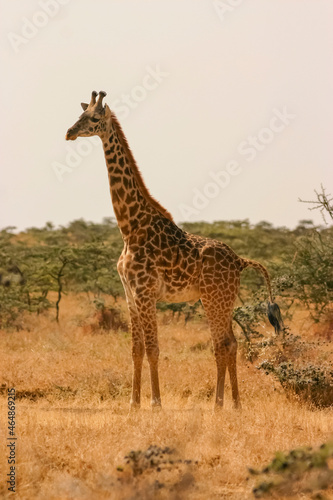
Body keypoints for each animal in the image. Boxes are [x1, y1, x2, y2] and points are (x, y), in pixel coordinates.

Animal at [65, 91, 282, 410]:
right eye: (78, 115)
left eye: (93, 118)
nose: (69, 132)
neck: (130, 228)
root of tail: (241, 261)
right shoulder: (130, 295)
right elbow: (136, 350)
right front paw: (133, 404)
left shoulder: (145, 294)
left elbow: (153, 348)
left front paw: (156, 403)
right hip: (220, 300)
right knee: (230, 343)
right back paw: (231, 404)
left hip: (215, 299)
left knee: (223, 343)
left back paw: (221, 404)